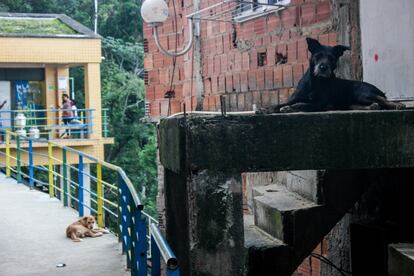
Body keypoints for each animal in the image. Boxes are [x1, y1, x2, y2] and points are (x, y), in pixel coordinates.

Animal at [258, 37, 404, 113]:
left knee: (382, 99)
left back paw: (398, 105)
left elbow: (302, 105)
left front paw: (290, 108)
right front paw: (265, 109)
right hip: (353, 101)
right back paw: (372, 107)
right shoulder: (294, 98)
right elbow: (279, 104)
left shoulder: (319, 104)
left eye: (332, 58)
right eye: (318, 56)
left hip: (362, 93)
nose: (323, 67)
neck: (316, 82)